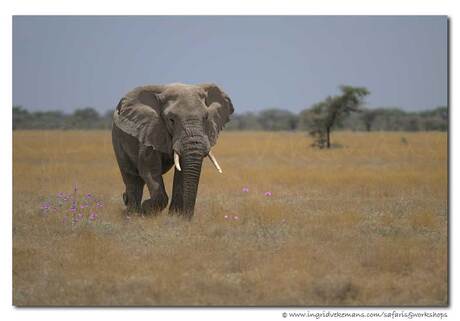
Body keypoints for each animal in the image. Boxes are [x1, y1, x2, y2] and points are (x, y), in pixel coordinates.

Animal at [111, 82, 234, 218]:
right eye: (171, 120)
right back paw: (132, 213)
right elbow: (149, 169)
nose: (188, 218)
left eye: (206, 118)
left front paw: (175, 216)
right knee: (131, 177)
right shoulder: (150, 129)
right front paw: (146, 208)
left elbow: (182, 171)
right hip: (117, 139)